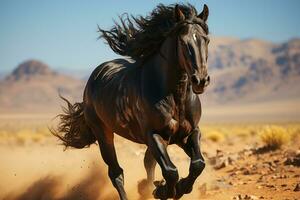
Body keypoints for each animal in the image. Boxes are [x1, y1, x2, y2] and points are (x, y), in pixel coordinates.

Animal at [52, 3, 210, 200]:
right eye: (183, 41)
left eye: (207, 40)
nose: (200, 81)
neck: (175, 97)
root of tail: (94, 78)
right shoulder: (154, 135)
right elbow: (171, 171)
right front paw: (163, 190)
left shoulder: (188, 133)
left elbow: (198, 163)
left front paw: (177, 188)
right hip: (103, 133)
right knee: (116, 173)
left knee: (147, 163)